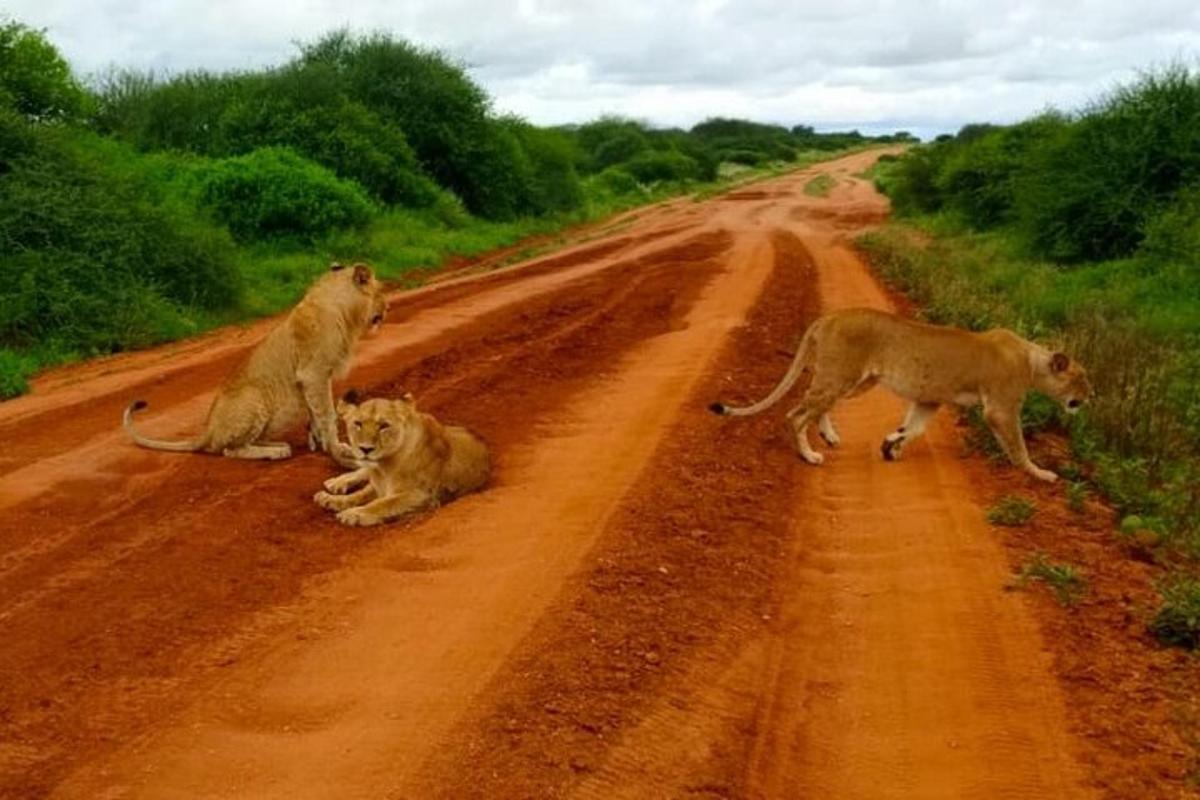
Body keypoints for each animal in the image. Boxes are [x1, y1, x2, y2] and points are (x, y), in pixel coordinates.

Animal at [122, 262, 386, 462]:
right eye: (381, 291)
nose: (387, 309)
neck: (344, 310)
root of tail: (208, 431)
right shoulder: (315, 373)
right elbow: (327, 414)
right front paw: (337, 447)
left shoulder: (312, 380)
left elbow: (315, 415)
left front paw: (319, 444)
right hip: (254, 398)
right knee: (230, 450)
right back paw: (277, 452)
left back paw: (276, 443)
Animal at [316, 393, 494, 527]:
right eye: (358, 423)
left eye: (384, 426)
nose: (365, 449)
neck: (385, 466)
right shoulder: (377, 484)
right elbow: (359, 495)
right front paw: (332, 500)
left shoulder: (423, 495)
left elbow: (384, 503)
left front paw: (354, 513)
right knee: (362, 471)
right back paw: (336, 483)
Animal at [705, 307, 1094, 482]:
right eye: (1081, 378)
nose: (1092, 396)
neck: (1031, 361)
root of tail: (829, 317)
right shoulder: (1000, 408)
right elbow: (1018, 445)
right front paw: (1040, 473)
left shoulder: (929, 398)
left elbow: (914, 427)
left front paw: (891, 447)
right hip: (842, 375)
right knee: (796, 415)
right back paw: (810, 456)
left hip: (853, 380)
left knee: (814, 404)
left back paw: (829, 436)